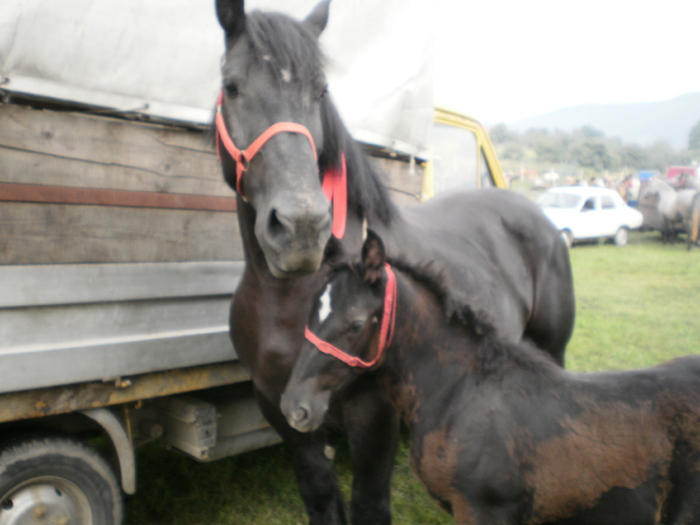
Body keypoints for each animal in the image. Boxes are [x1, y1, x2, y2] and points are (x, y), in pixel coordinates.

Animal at [215, 2, 576, 520]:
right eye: (231, 86)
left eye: (320, 91)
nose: (301, 225)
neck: (285, 300)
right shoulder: (282, 410)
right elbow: (320, 495)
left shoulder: (375, 420)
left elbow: (370, 505)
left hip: (553, 351)